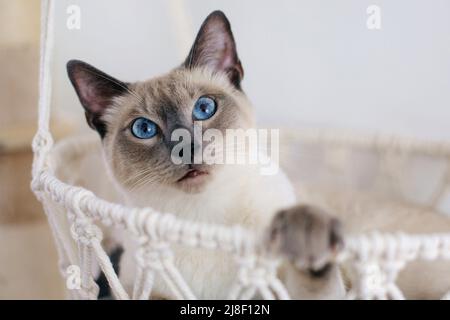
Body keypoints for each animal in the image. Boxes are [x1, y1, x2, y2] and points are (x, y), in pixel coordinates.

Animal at [67, 10, 450, 300]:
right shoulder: (142, 288)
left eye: (204, 108)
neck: (203, 221)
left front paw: (305, 235)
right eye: (144, 129)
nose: (185, 146)